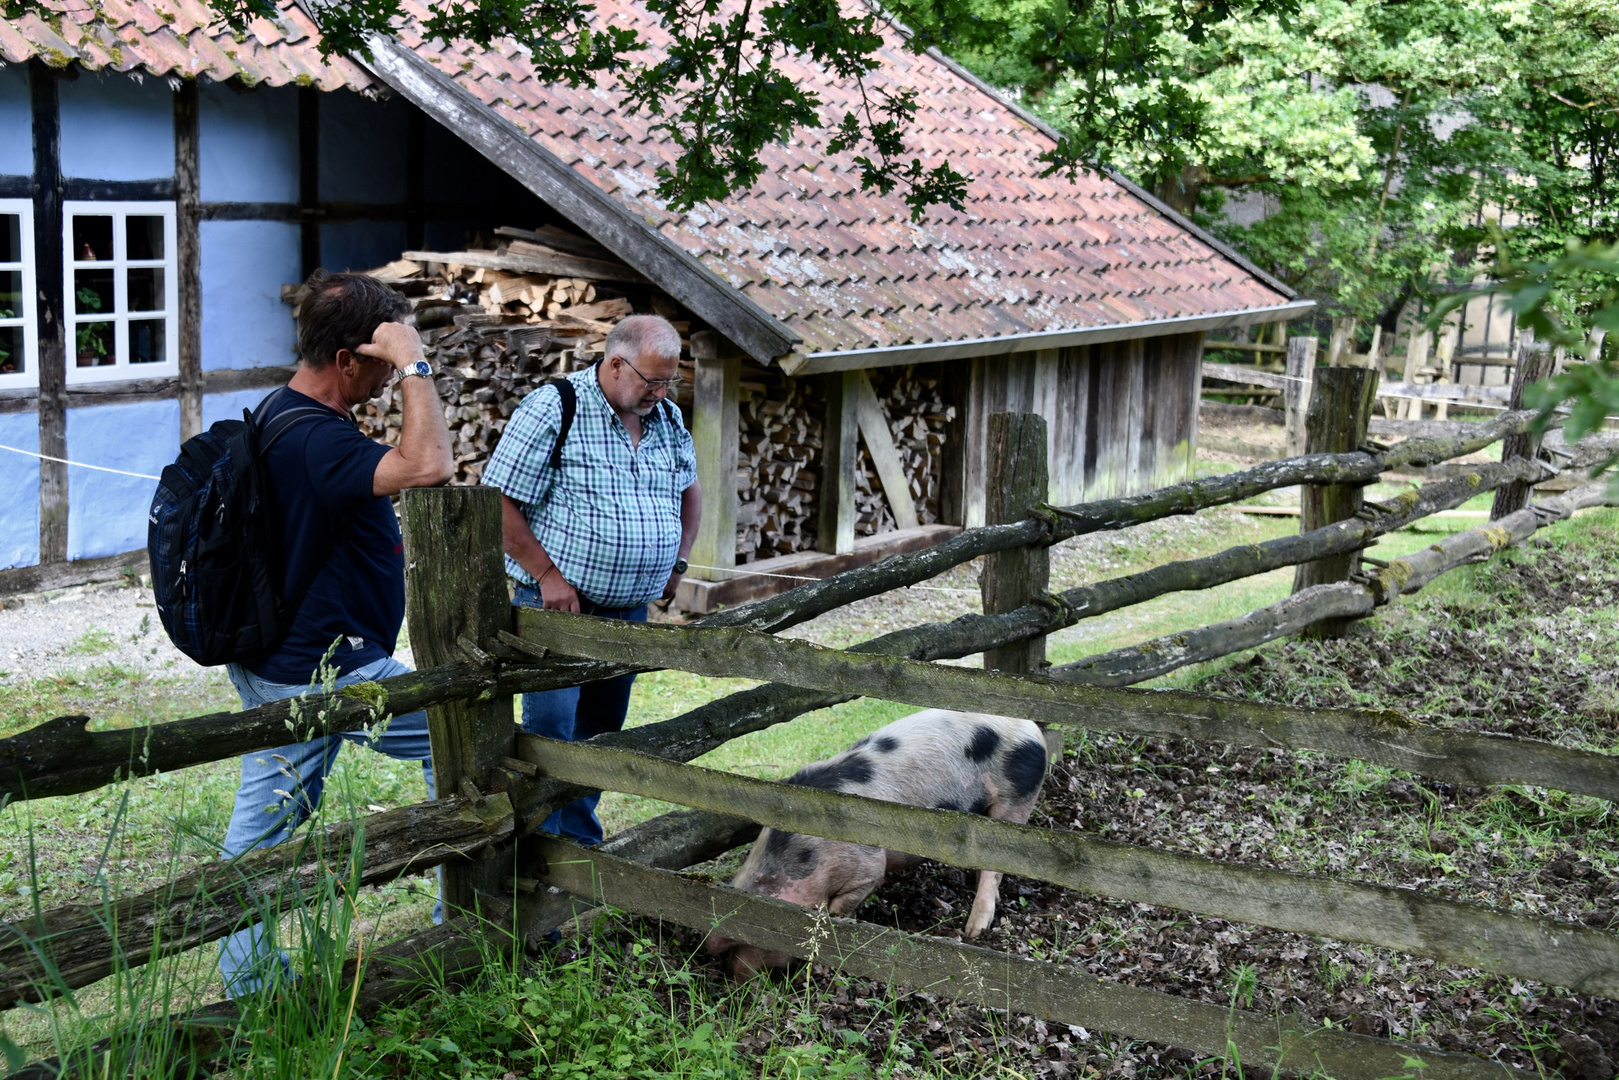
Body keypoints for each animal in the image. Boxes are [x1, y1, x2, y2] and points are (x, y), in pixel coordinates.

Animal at [709, 709, 1049, 977]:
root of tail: (1032, 728)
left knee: (997, 867)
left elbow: (841, 908)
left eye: (753, 937)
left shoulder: (867, 868)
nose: (737, 977)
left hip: (1016, 800)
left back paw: (974, 930)